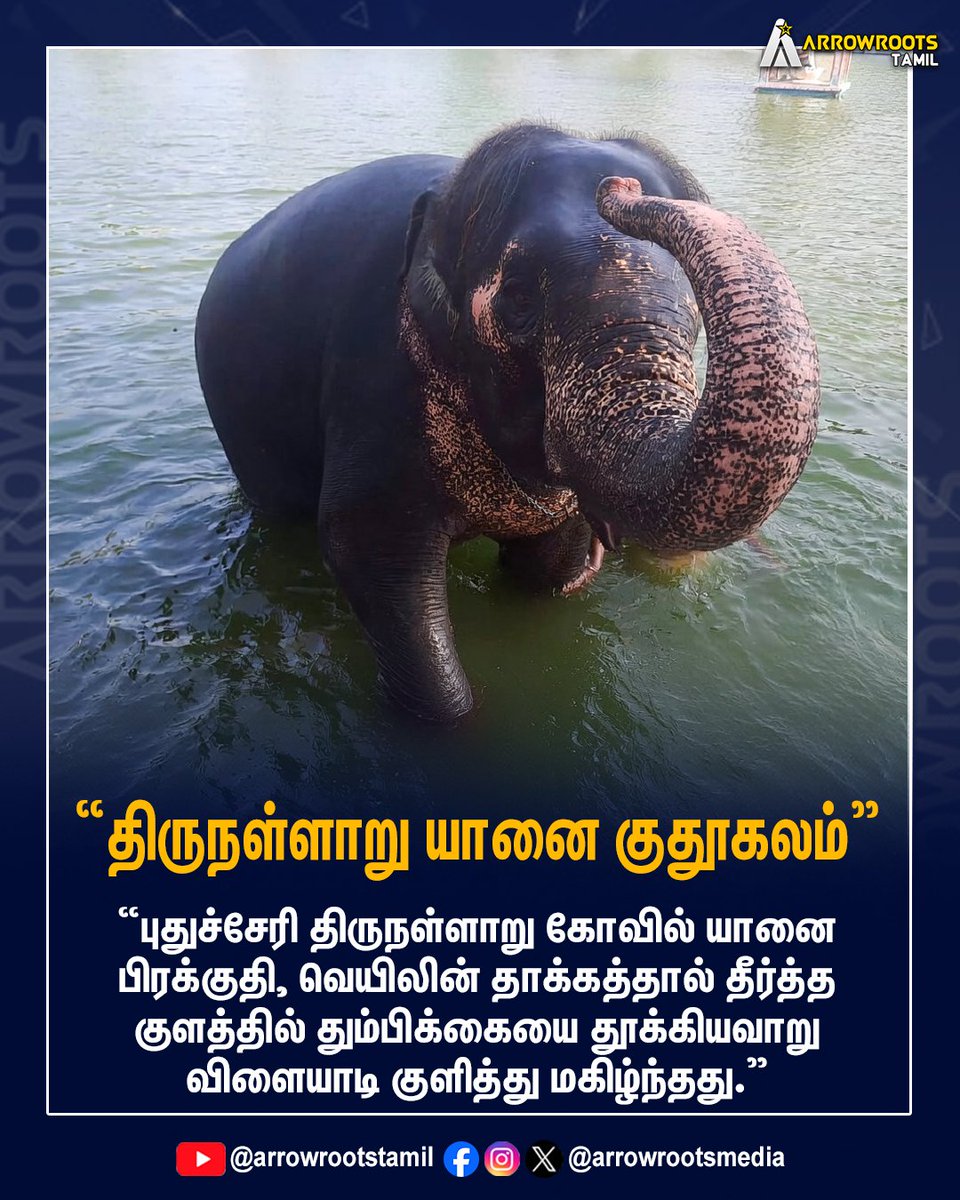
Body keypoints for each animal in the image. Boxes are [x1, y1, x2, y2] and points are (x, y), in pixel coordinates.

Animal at [195, 123, 819, 722]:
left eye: (692, 309)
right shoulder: (373, 371)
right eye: (519, 298)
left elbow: (546, 573)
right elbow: (364, 545)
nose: (619, 188)